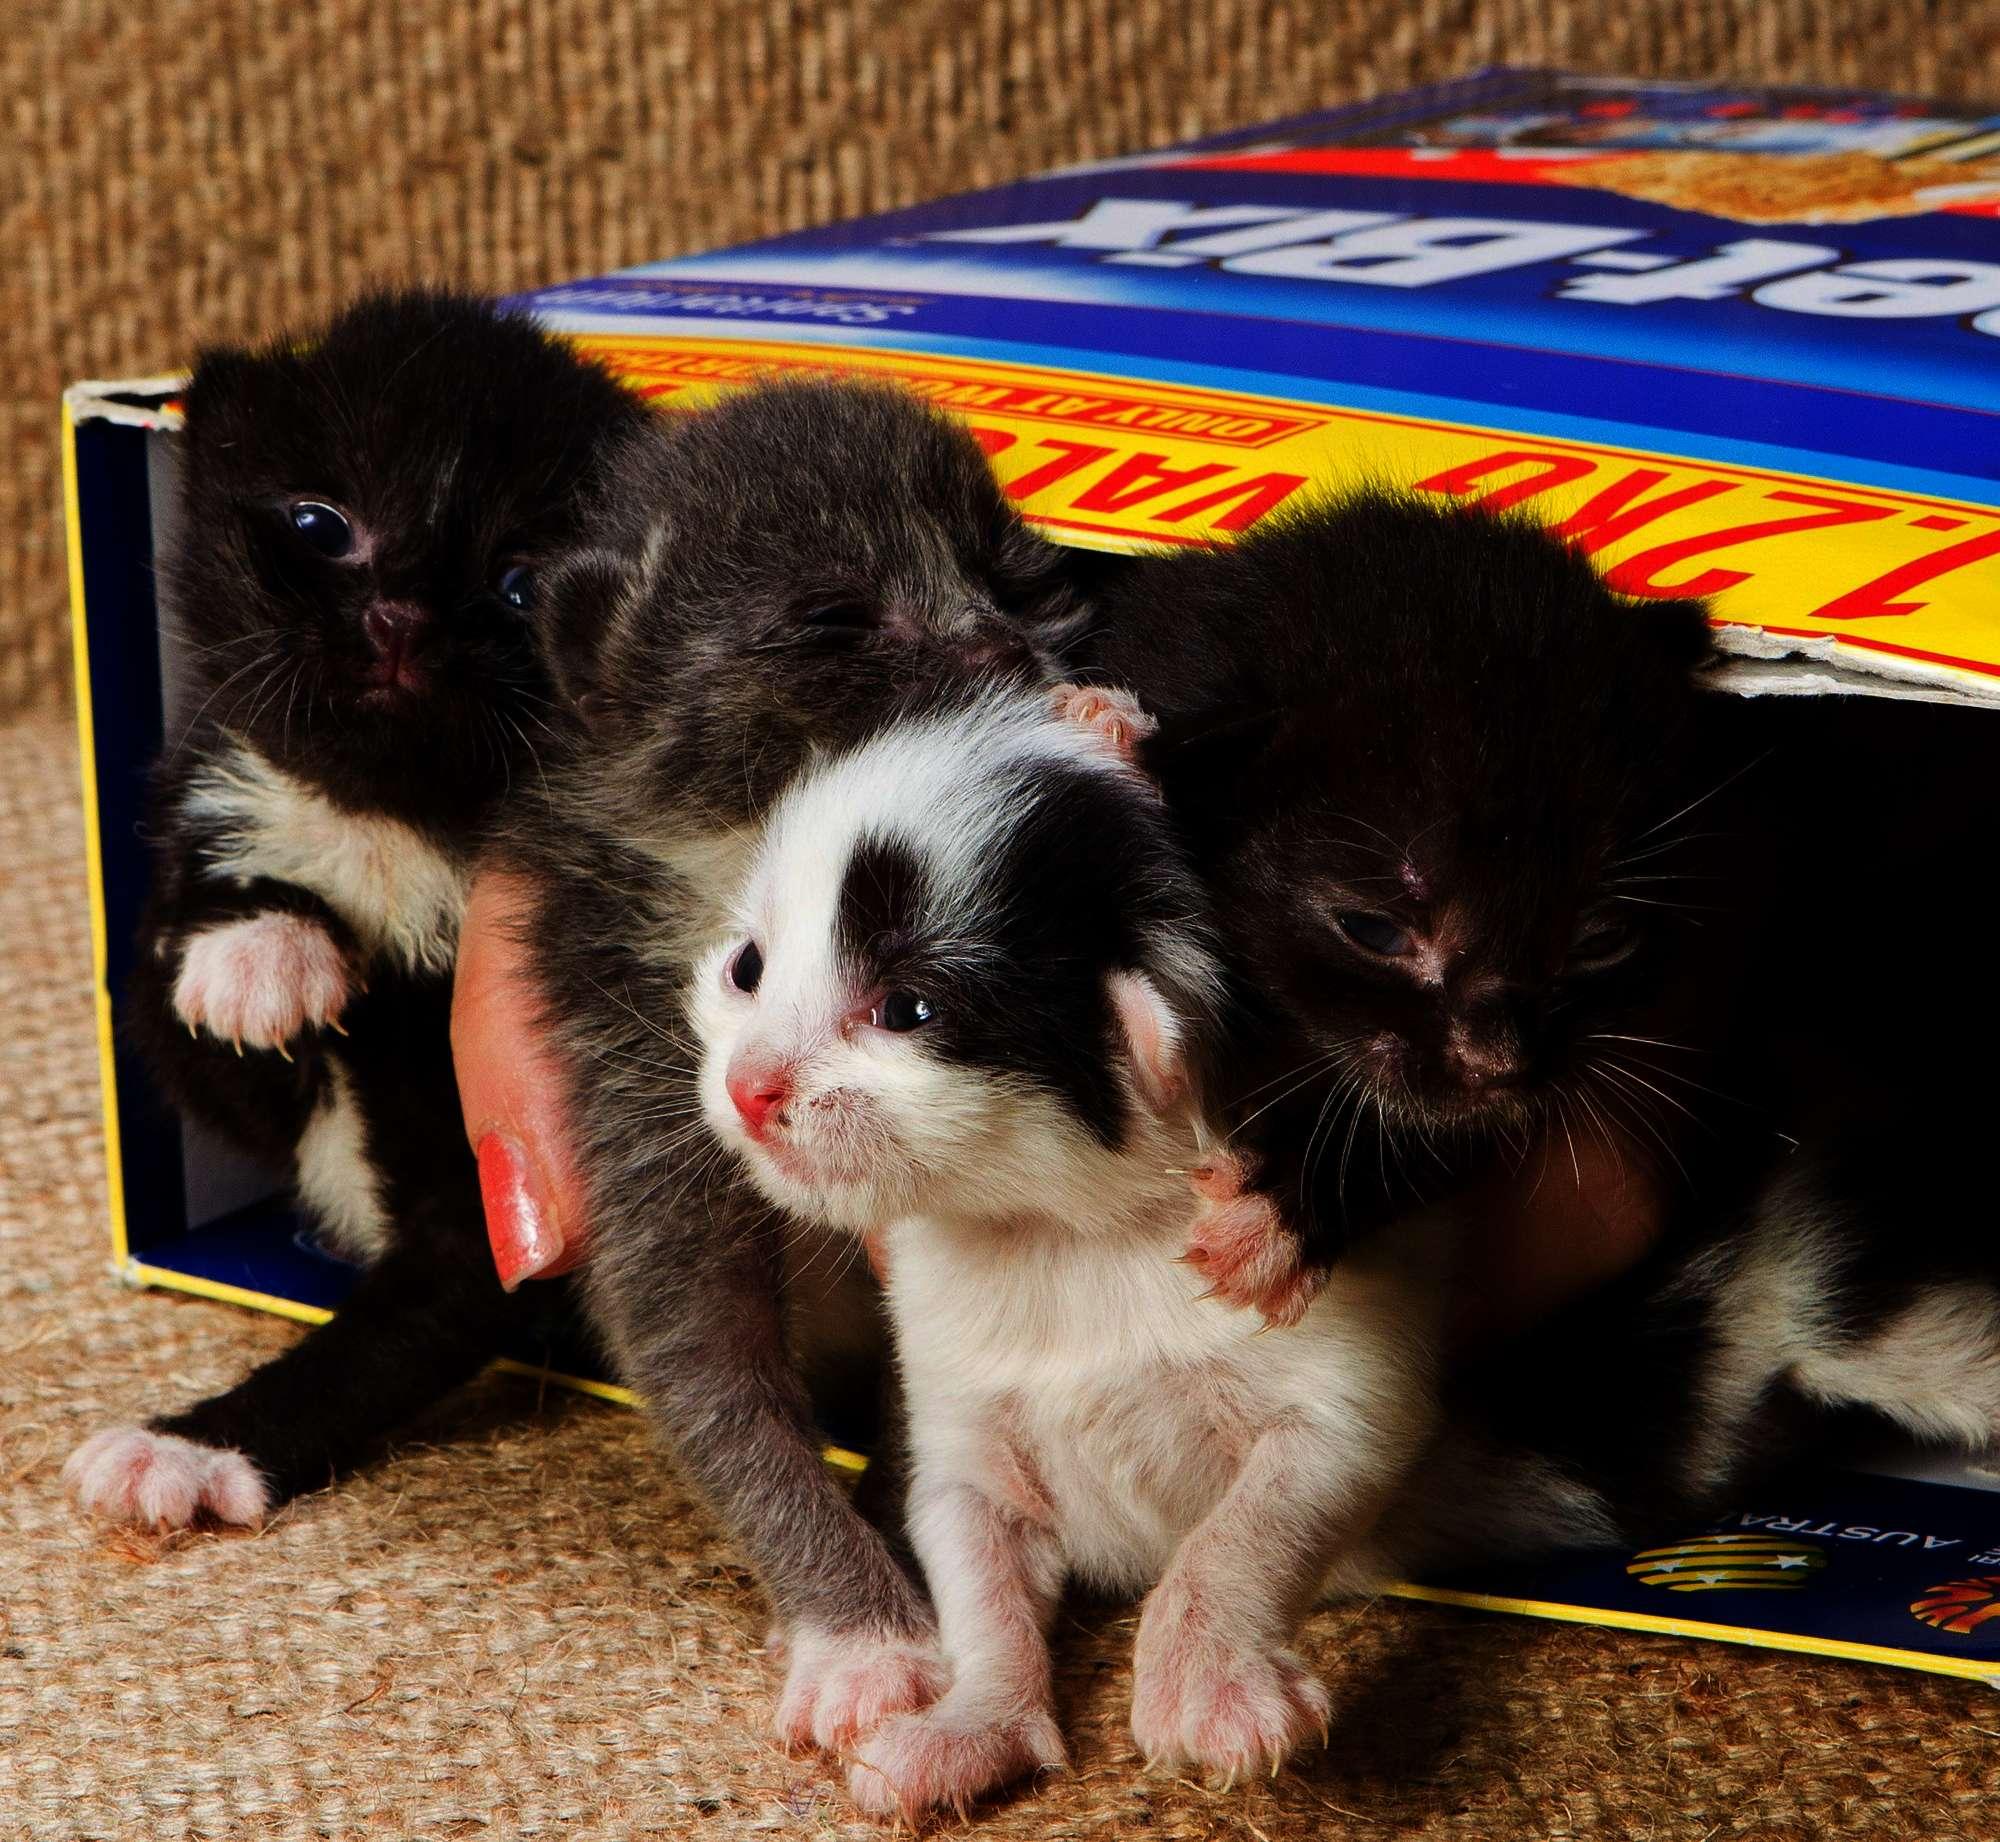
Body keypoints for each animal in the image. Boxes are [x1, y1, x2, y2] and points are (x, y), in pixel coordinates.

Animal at [64, 288, 648, 1520]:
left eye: (521, 583)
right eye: (321, 524)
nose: (400, 617)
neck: (396, 828)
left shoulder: (511, 1177)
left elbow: (406, 1319)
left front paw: (196, 1446)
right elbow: (170, 1001)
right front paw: (260, 957)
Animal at [498, 378, 1096, 1752]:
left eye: (1017, 578)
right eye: (835, 617)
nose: (1007, 653)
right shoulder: (633, 1091)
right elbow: (706, 1376)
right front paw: (857, 1632)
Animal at [696, 688, 1448, 1808]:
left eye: (907, 1009)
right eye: (748, 969)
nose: (748, 1089)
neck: (1058, 1227)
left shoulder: (1351, 1373)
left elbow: (1252, 1523)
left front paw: (1206, 1681)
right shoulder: (960, 1431)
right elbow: (974, 1576)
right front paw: (973, 1722)